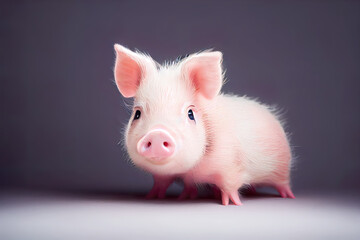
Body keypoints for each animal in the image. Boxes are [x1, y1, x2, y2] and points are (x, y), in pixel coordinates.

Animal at [114, 44, 294, 205]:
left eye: (190, 114)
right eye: (137, 114)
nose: (158, 133)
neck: (190, 170)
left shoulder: (231, 165)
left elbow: (230, 184)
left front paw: (231, 203)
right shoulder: (164, 175)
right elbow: (161, 183)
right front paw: (152, 197)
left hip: (283, 166)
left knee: (283, 183)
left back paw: (288, 196)